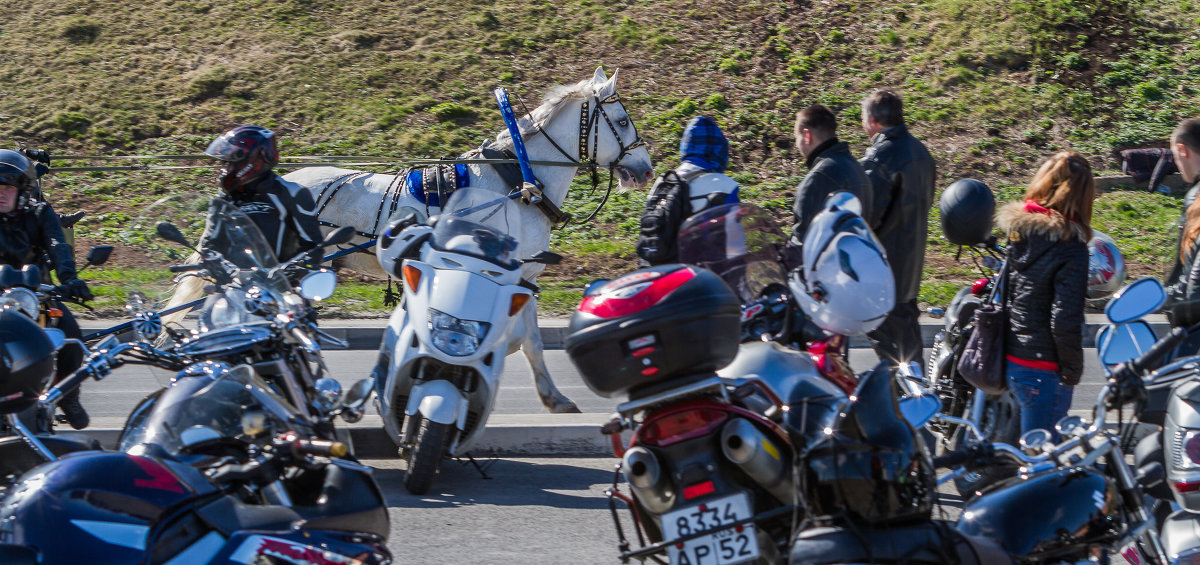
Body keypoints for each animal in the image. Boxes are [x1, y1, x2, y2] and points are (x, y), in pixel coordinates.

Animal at [160, 67, 657, 415]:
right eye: (621, 119)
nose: (645, 170)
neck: (516, 180)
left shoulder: (518, 274)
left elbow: (516, 337)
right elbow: (526, 340)